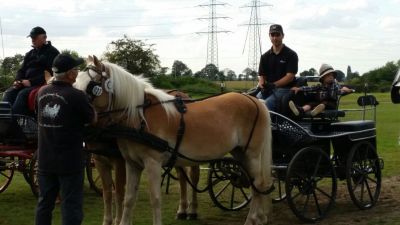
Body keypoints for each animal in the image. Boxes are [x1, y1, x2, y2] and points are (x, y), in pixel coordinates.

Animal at [74, 55, 272, 225]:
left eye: (91, 85)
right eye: (76, 80)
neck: (139, 117)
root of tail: (254, 101)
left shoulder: (152, 163)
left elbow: (155, 199)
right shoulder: (132, 163)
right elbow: (128, 198)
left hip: (252, 154)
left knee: (259, 183)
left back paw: (252, 219)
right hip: (240, 153)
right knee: (254, 184)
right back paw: (259, 218)